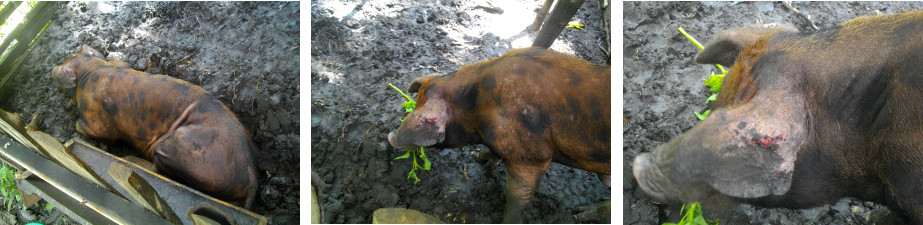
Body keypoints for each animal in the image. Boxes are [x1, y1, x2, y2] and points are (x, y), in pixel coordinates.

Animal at [52, 45, 258, 209]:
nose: (54, 70)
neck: (92, 70)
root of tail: (251, 175)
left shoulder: (99, 124)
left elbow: (86, 128)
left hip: (178, 150)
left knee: (157, 170)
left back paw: (129, 159)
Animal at [388, 46, 612, 222]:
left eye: (419, 105)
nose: (390, 137)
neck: (475, 105)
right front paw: (480, 160)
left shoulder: (530, 157)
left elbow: (517, 200)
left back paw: (580, 214)